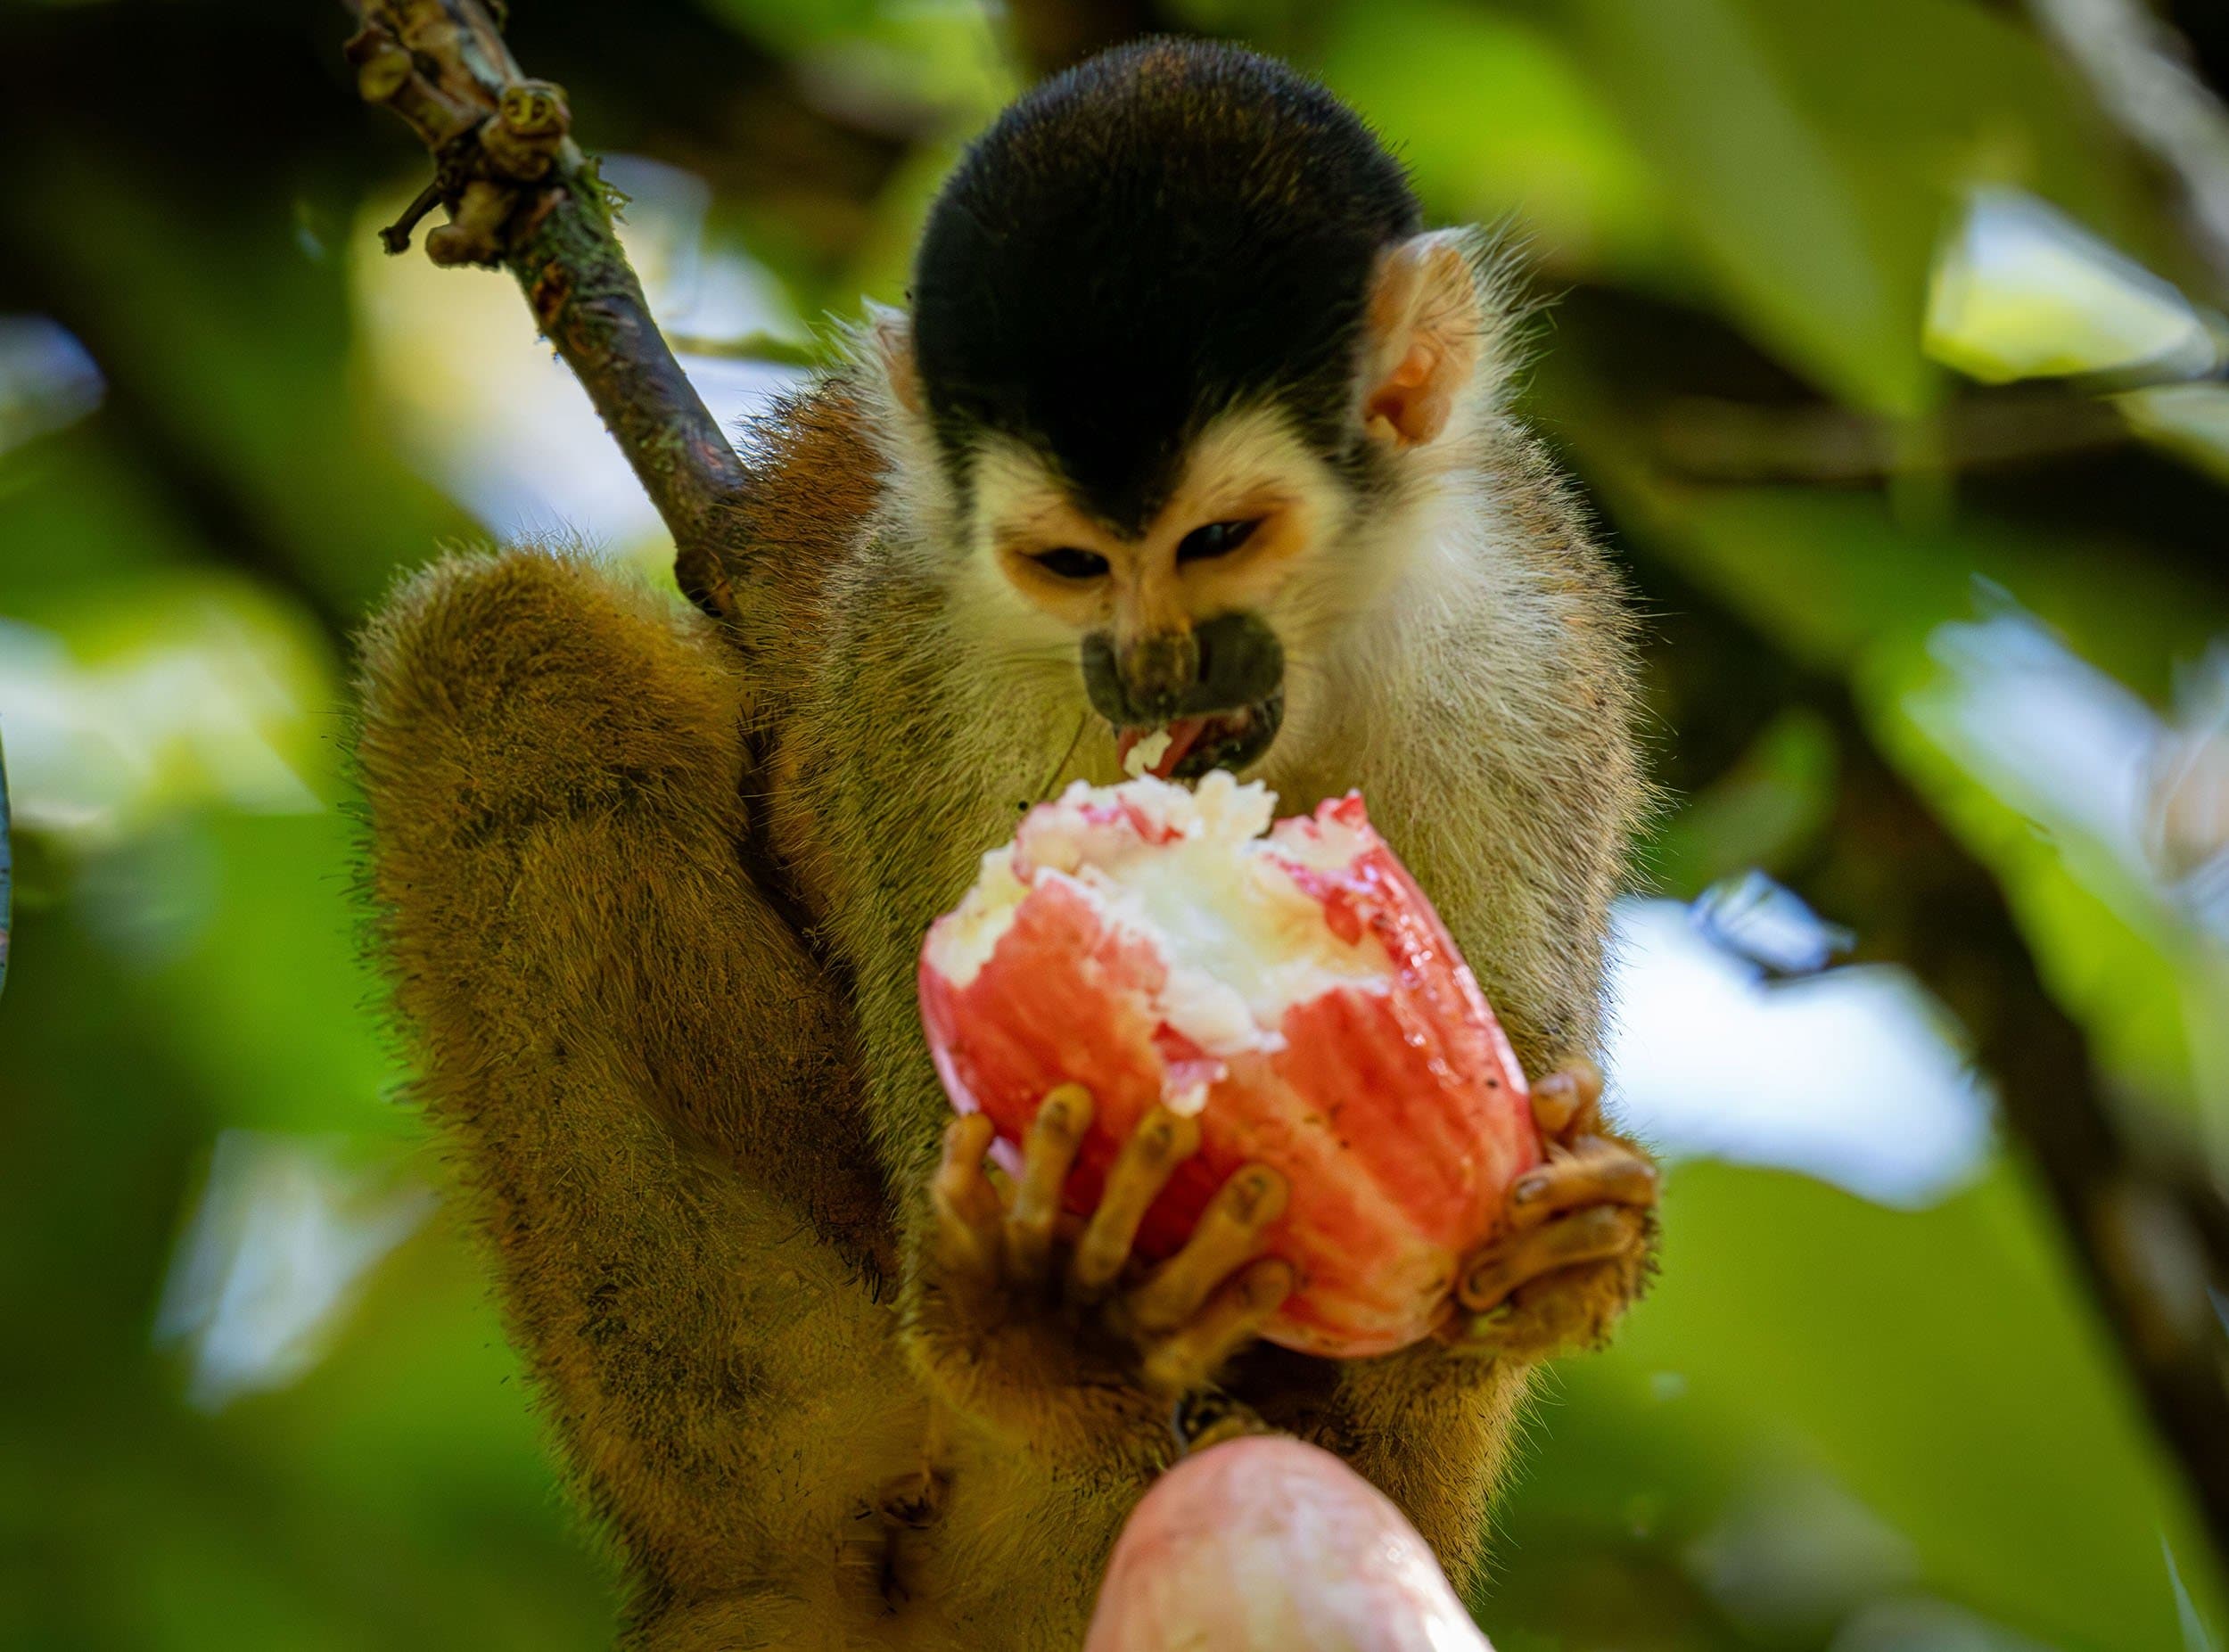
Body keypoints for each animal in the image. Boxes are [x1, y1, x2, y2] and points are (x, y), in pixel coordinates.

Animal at [355, 38, 1656, 1652]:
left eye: (1221, 537)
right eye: (1068, 564)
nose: (1151, 675)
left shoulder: (1520, 641)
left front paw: (1549, 1257)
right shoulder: (924, 646)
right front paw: (1042, 1312)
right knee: (498, 659)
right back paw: (779, 1542)